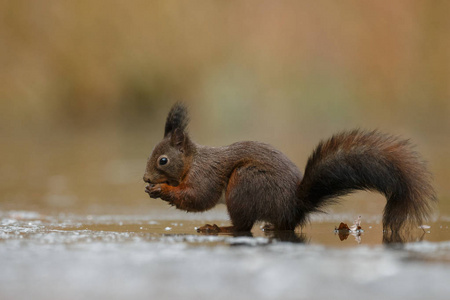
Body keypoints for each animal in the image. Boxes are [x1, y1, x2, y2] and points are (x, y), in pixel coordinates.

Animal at [144, 103, 436, 232]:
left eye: (163, 160)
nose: (145, 178)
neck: (193, 162)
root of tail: (295, 203)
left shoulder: (205, 174)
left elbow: (199, 198)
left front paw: (162, 189)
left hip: (244, 184)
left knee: (242, 227)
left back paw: (217, 228)